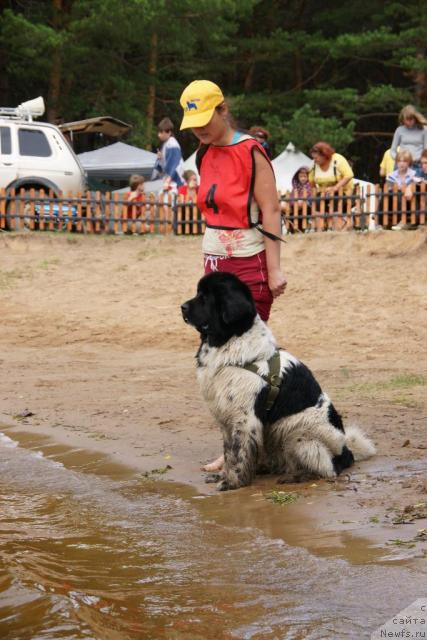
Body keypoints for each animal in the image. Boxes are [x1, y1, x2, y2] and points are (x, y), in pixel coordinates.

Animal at [182, 272, 376, 492]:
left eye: (205, 297)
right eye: (199, 293)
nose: (182, 307)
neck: (229, 341)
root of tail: (347, 452)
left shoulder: (244, 418)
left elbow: (238, 452)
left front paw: (232, 482)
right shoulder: (226, 416)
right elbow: (229, 452)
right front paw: (225, 475)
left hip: (298, 435)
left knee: (327, 468)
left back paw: (297, 475)